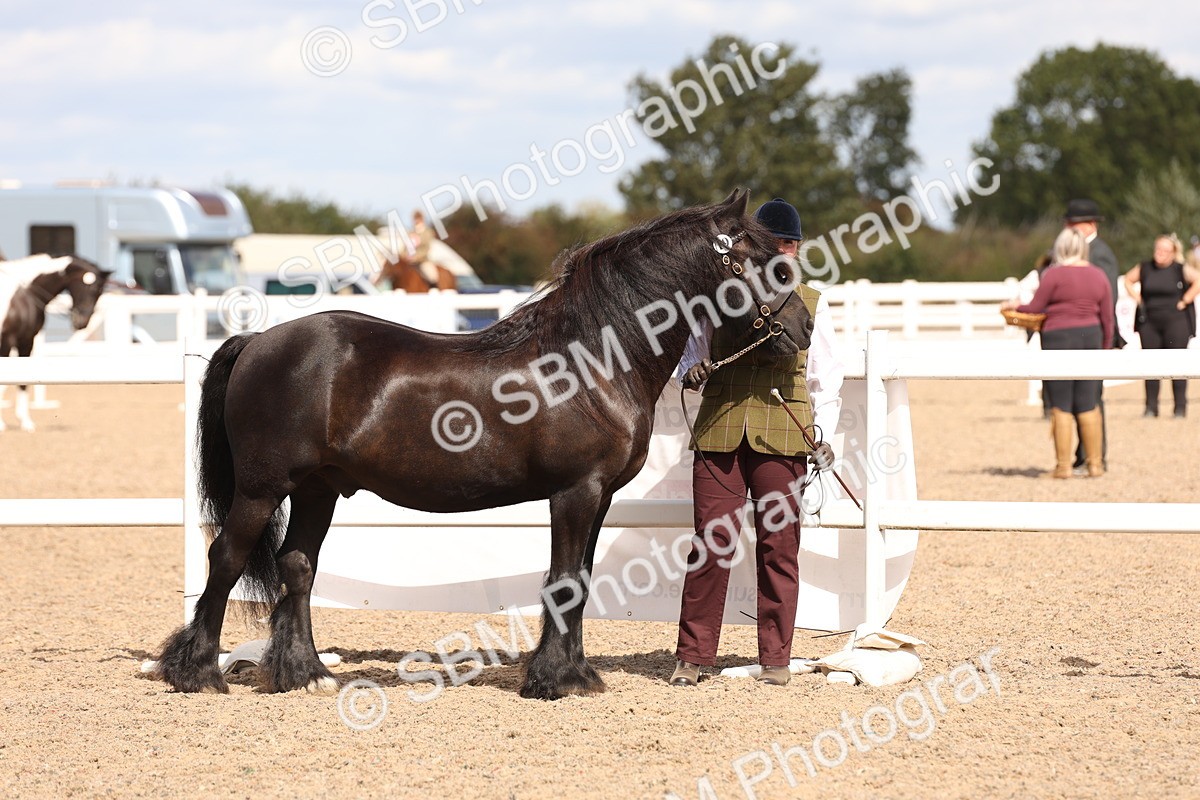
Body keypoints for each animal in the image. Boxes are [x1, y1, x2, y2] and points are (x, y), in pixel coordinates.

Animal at [0, 254, 112, 432]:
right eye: (90, 288)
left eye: (100, 290)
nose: (82, 322)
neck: (25, 293)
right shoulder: (7, 340)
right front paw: (2, 424)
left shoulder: (26, 340)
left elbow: (23, 382)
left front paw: (26, 421)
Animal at [155, 189, 814, 699]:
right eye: (764, 262)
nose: (804, 326)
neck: (594, 358)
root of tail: (259, 340)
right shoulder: (574, 492)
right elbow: (564, 581)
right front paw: (553, 681)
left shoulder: (598, 496)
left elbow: (581, 580)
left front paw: (576, 674)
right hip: (262, 489)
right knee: (227, 558)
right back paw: (198, 673)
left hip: (318, 490)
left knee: (297, 565)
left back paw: (305, 674)